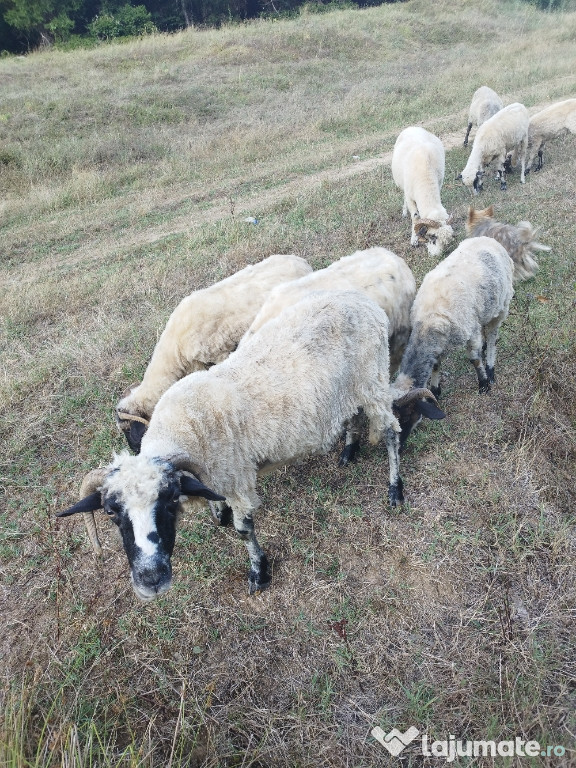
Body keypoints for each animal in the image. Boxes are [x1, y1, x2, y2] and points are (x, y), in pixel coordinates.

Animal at [57, 292, 440, 596]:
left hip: (371, 379)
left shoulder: (238, 478)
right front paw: (219, 515)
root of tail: (363, 300)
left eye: (167, 500)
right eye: (111, 512)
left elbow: (244, 530)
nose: (151, 579)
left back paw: (395, 489)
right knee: (350, 416)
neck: (185, 428)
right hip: (344, 390)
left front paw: (259, 572)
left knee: (390, 433)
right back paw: (348, 450)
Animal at [113, 255, 310, 452]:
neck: (173, 349)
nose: (135, 450)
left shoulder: (218, 354)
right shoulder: (197, 363)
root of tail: (299, 260)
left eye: (129, 429)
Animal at [392, 126, 454, 256]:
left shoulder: (439, 184)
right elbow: (415, 217)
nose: (436, 255)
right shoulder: (410, 196)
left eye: (445, 242)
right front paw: (414, 240)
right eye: (432, 236)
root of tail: (413, 127)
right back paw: (404, 212)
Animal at [392, 237, 512, 448]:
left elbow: (474, 359)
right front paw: (435, 390)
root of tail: (488, 239)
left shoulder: (470, 332)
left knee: (492, 335)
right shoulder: (438, 346)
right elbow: (435, 366)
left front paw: (483, 384)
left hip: (502, 305)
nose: (400, 447)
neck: (429, 322)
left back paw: (490, 368)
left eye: (407, 417)